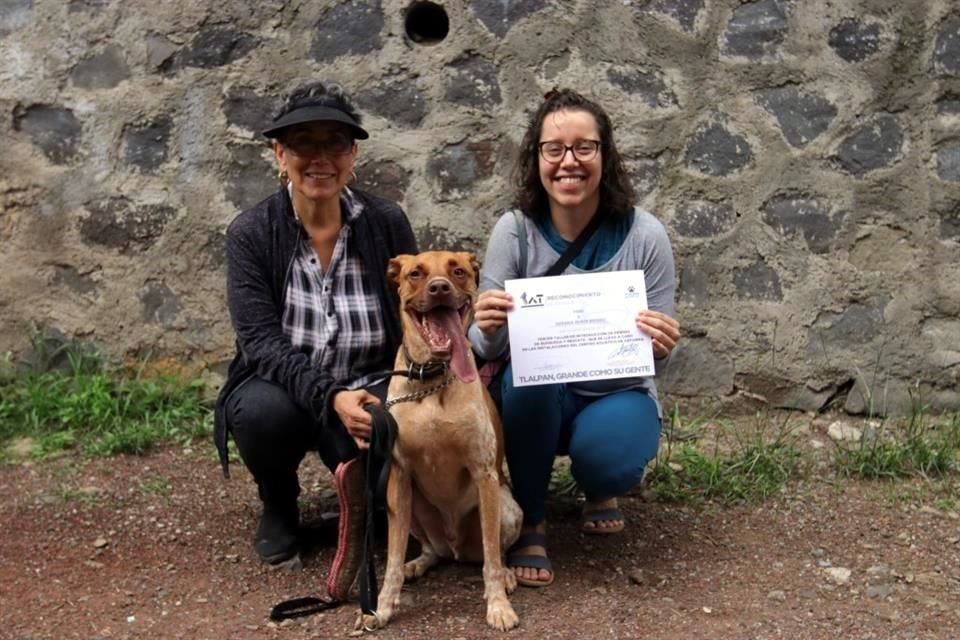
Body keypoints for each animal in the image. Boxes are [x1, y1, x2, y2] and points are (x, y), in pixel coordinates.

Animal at [356, 250, 520, 632]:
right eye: (416, 273)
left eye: (457, 271)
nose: (440, 287)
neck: (431, 380)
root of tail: (456, 548)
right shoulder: (399, 475)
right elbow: (391, 557)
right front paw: (381, 608)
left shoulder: (484, 473)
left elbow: (491, 557)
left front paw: (498, 606)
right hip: (409, 505)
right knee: (429, 550)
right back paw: (416, 564)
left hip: (507, 507)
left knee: (495, 552)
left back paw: (506, 573)